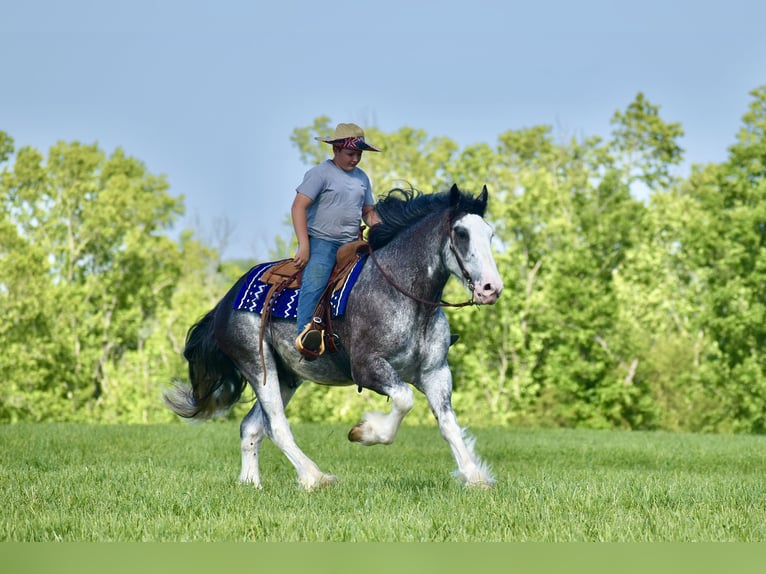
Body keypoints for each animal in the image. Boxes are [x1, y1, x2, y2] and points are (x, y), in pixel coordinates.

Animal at [164, 184, 504, 490]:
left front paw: (474, 477)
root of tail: (224, 302)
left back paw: (251, 484)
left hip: (286, 375)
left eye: (489, 233)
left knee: (251, 428)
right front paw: (364, 432)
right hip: (258, 367)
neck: (405, 296)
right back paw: (315, 477)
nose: (491, 288)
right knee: (276, 426)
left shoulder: (436, 373)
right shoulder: (368, 368)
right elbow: (404, 400)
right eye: (461, 233)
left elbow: (448, 425)